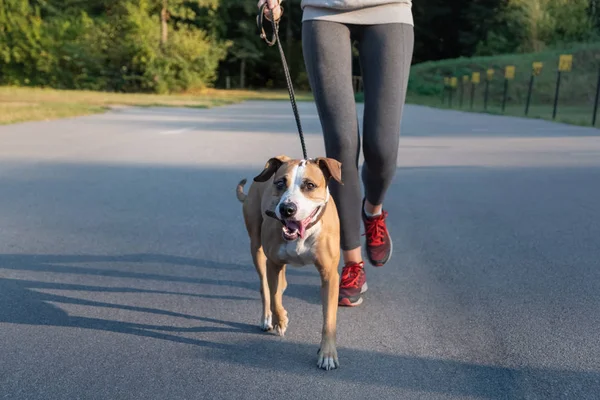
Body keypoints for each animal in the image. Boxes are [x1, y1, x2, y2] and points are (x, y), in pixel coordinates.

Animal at [238, 155, 344, 370]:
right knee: (265, 288)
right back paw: (267, 317)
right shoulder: (272, 264)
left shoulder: (329, 275)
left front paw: (328, 354)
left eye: (310, 185)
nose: (287, 209)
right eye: (280, 183)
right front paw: (280, 320)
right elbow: (274, 298)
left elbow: (329, 319)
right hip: (257, 248)